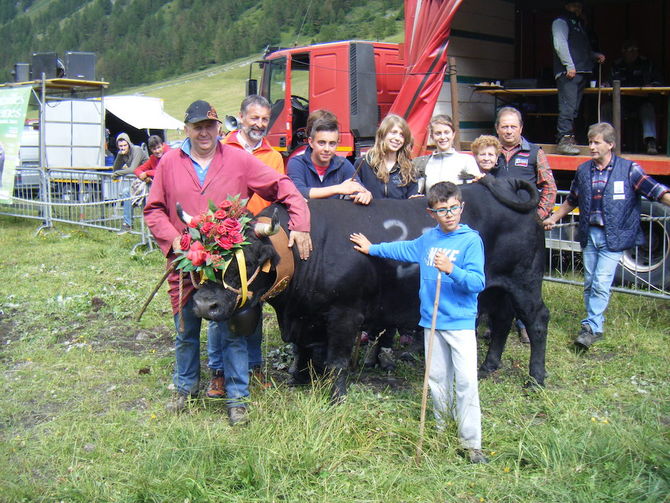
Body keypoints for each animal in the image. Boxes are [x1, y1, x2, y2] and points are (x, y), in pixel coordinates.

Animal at [189, 177, 552, 402]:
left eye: (249, 258)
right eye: (201, 255)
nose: (205, 304)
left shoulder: (345, 315)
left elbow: (337, 360)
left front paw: (335, 397)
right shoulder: (305, 316)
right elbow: (302, 348)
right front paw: (298, 378)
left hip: (525, 281)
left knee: (536, 321)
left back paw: (535, 378)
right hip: (496, 289)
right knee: (503, 320)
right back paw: (488, 367)